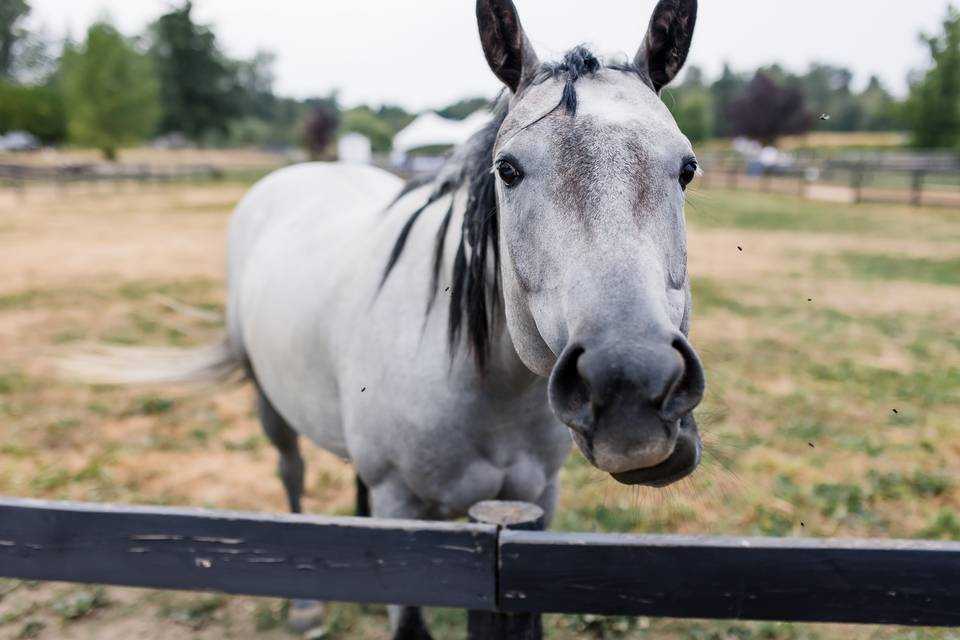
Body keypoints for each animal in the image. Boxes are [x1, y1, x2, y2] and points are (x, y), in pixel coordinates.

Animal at [77, 1, 704, 636]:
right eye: (507, 170)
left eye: (687, 169)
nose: (630, 386)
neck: (484, 386)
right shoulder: (406, 520)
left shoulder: (538, 504)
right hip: (271, 405)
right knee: (291, 473)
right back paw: (305, 605)